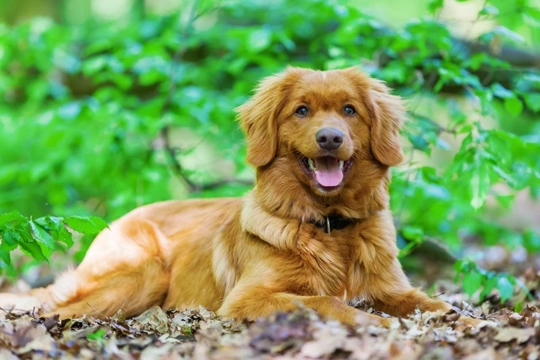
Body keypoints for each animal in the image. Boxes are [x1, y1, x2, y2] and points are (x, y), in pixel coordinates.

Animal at [0, 67, 472, 326]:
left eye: (350, 110)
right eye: (302, 110)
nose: (330, 138)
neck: (327, 223)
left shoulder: (389, 286)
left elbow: (427, 301)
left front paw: (458, 317)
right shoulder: (248, 298)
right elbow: (322, 300)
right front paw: (371, 322)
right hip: (142, 273)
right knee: (56, 311)